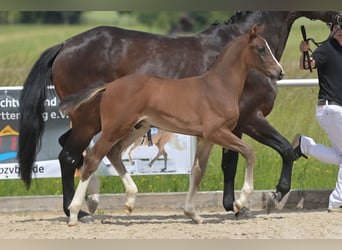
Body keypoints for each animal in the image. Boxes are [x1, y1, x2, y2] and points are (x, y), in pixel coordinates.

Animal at [18, 11, 336, 219]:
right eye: (260, 49)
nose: (280, 72)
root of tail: (64, 45)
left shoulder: (228, 128)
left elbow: (221, 165)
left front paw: (230, 205)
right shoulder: (250, 119)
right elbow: (278, 151)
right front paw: (269, 196)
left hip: (108, 123)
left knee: (83, 151)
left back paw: (97, 201)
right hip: (91, 121)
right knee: (74, 155)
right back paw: (76, 210)